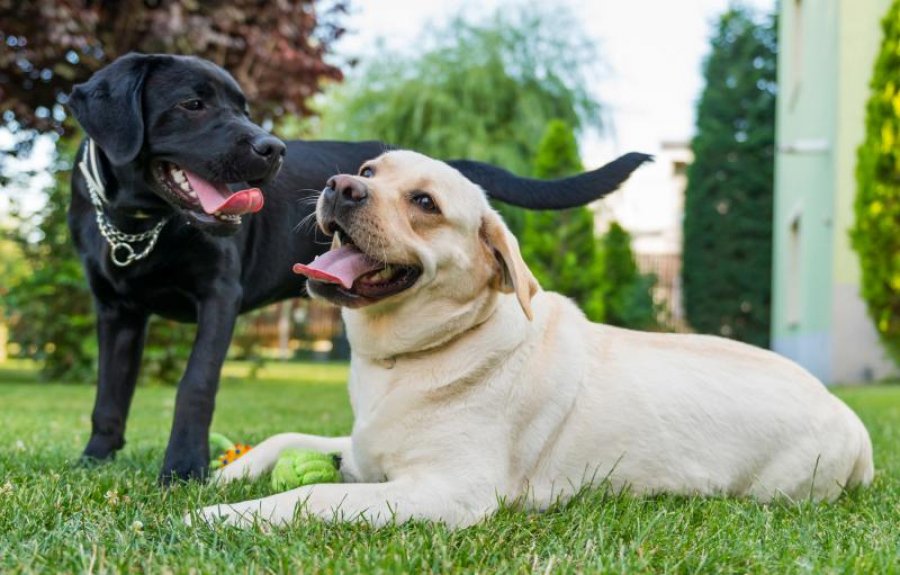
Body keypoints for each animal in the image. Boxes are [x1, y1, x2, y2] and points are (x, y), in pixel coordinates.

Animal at [65, 55, 652, 486]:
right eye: (192, 104)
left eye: (244, 107)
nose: (272, 148)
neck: (140, 223)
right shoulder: (115, 311)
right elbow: (108, 394)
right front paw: (94, 459)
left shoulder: (219, 297)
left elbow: (195, 385)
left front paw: (182, 468)